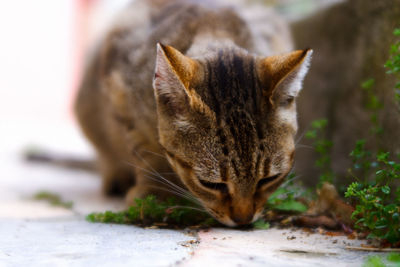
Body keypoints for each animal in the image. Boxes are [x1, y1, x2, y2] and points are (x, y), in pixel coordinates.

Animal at [75, 0, 312, 227]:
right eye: (211, 184)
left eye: (269, 179)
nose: (243, 220)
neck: (214, 27)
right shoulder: (123, 99)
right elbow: (149, 152)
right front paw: (156, 193)